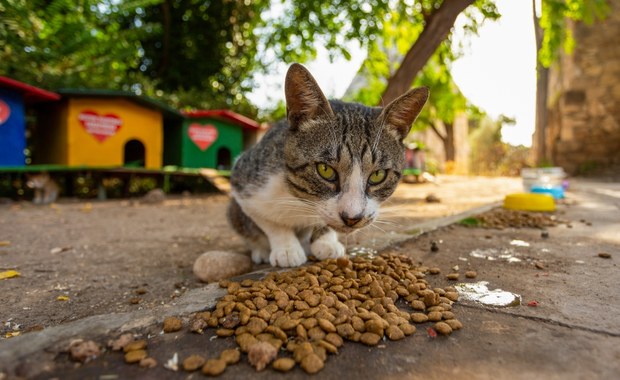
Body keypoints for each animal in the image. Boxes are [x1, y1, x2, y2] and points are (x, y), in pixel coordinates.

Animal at [230, 63, 428, 268]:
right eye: (325, 170)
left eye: (378, 175)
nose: (352, 218)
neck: (302, 200)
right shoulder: (245, 180)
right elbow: (269, 222)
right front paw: (287, 248)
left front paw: (326, 242)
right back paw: (261, 250)